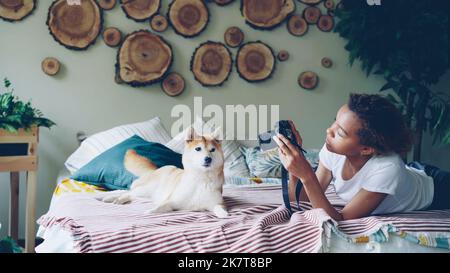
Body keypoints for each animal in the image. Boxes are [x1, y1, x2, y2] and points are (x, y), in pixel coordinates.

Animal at [96, 126, 229, 218]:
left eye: (212, 150)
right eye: (198, 149)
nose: (208, 159)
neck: (201, 179)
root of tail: (157, 169)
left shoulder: (216, 203)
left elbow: (220, 208)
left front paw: (224, 214)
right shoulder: (171, 201)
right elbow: (159, 207)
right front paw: (149, 211)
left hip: (145, 195)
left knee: (131, 195)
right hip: (146, 190)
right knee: (128, 192)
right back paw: (112, 198)